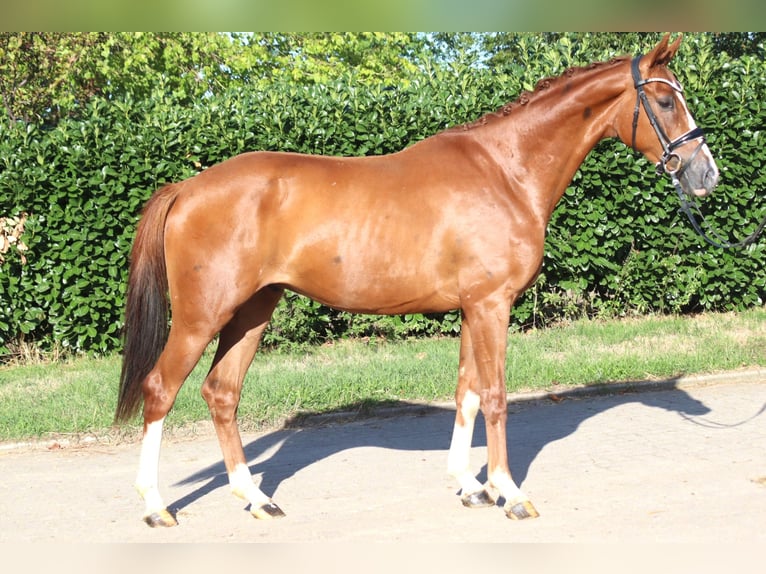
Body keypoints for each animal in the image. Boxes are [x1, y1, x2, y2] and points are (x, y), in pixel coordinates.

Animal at [115, 34, 719, 527]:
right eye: (665, 100)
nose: (705, 174)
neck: (505, 171)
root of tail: (186, 188)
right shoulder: (492, 305)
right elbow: (495, 395)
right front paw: (510, 492)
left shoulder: (473, 307)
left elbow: (467, 392)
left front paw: (470, 486)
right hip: (202, 315)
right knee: (161, 389)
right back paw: (155, 505)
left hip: (252, 310)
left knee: (222, 392)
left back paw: (256, 498)